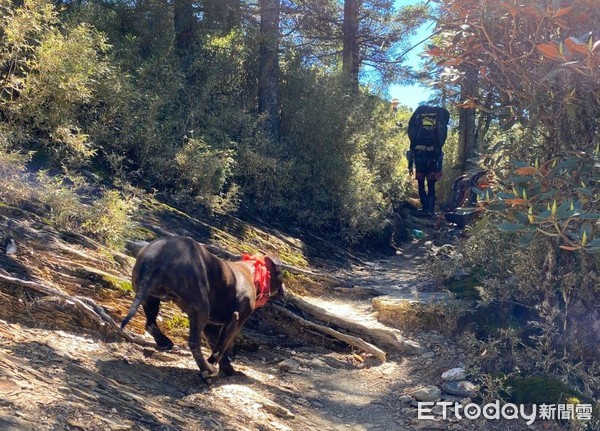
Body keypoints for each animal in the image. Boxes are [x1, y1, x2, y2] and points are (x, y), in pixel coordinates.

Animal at [120, 235, 284, 380]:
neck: (253, 273)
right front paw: (214, 364)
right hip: (200, 309)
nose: (284, 291)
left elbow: (219, 349)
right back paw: (207, 369)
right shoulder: (235, 322)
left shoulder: (211, 326)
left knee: (150, 324)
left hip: (150, 298)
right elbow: (221, 347)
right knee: (193, 342)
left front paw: (228, 369)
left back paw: (164, 342)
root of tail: (159, 254)